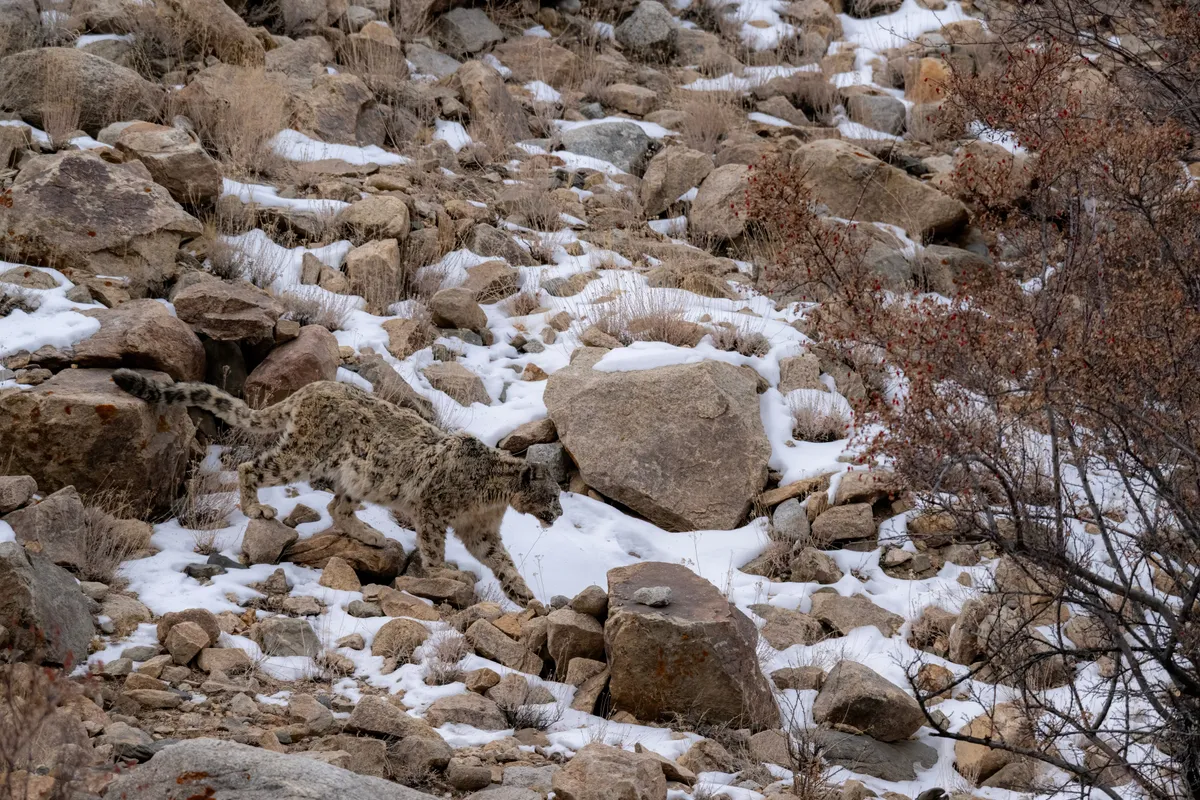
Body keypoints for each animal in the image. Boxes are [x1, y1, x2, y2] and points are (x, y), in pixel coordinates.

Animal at [111, 369, 561, 605]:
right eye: (554, 495)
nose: (557, 515)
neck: (491, 500)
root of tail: (311, 388)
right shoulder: (433, 510)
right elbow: (434, 545)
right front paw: (442, 572)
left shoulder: (481, 530)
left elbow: (502, 561)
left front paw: (525, 596)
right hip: (302, 455)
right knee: (251, 467)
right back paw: (258, 509)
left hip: (356, 478)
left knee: (337, 508)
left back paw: (372, 535)